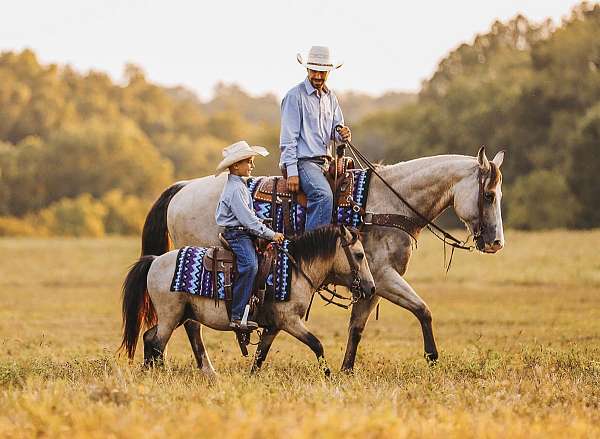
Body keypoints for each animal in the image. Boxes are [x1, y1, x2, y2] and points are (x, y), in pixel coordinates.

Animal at [120, 225, 376, 376]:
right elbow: (317, 344)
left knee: (150, 338)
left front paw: (251, 377)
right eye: (359, 255)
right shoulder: (290, 321)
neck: (295, 269)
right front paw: (328, 376)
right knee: (157, 342)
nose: (370, 288)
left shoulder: (274, 326)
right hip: (170, 315)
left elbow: (261, 354)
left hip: (179, 315)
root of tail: (155, 260)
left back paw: (149, 372)